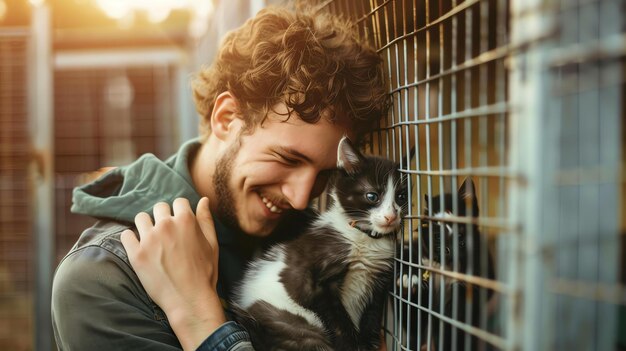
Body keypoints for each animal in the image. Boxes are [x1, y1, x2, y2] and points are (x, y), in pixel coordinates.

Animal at [232, 138, 408, 351]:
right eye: (372, 196)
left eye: (401, 197)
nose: (391, 217)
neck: (365, 238)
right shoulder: (306, 279)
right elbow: (337, 319)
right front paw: (351, 344)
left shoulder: (379, 281)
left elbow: (371, 317)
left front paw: (367, 343)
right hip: (290, 323)